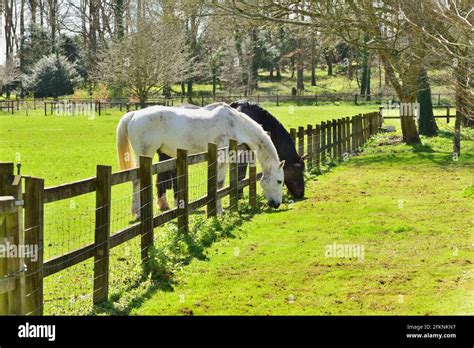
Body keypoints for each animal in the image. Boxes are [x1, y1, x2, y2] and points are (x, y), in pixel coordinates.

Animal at [117, 102, 286, 216]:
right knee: (137, 182)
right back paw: (137, 212)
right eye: (279, 181)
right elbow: (219, 184)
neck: (236, 125)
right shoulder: (222, 159)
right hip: (145, 154)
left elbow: (218, 184)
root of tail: (134, 114)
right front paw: (218, 211)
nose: (277, 204)